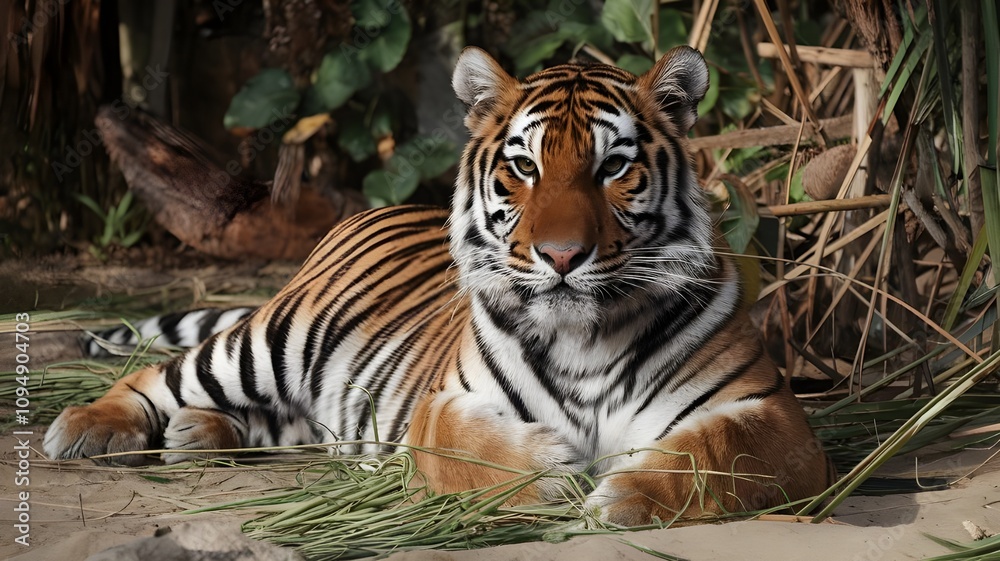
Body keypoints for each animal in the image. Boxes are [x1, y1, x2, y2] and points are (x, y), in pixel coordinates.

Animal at [44, 45, 833, 525]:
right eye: (524, 166)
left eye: (613, 166)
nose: (562, 254)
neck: (587, 333)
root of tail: (369, 211)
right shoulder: (442, 403)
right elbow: (471, 446)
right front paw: (552, 471)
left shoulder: (776, 418)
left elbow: (715, 453)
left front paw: (622, 493)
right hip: (274, 337)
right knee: (159, 373)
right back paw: (88, 429)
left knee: (284, 421)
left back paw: (200, 433)